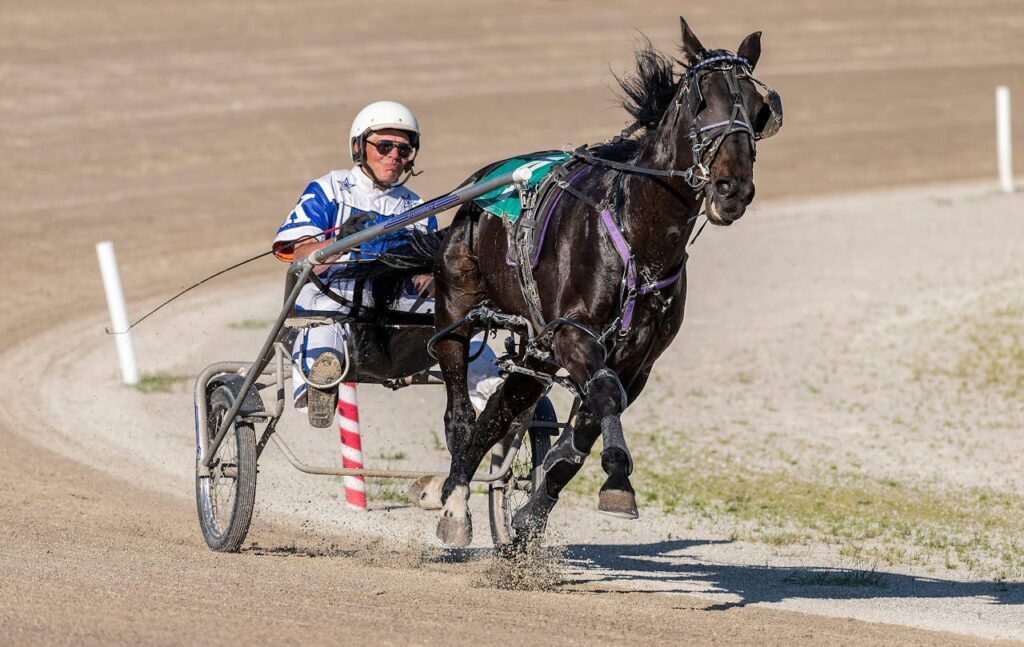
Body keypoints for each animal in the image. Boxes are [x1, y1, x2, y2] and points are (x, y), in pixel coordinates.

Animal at [359, 17, 782, 548]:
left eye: (761, 109)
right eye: (701, 100)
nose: (732, 189)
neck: (638, 236)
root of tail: (473, 195)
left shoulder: (637, 361)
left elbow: (588, 424)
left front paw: (530, 516)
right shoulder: (572, 334)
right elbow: (602, 396)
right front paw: (618, 478)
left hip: (535, 349)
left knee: (498, 410)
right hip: (456, 310)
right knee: (460, 413)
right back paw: (454, 503)